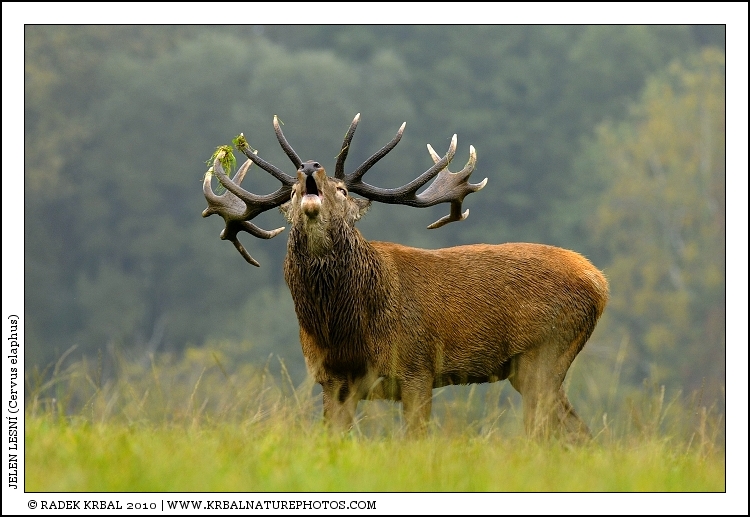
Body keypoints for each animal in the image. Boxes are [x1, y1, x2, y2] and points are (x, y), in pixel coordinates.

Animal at [202, 113, 609, 440]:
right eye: (292, 194)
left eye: (342, 189)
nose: (309, 167)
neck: (345, 331)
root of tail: (598, 281)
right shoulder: (330, 379)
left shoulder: (418, 367)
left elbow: (415, 442)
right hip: (534, 366)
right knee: (576, 431)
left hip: (548, 349)